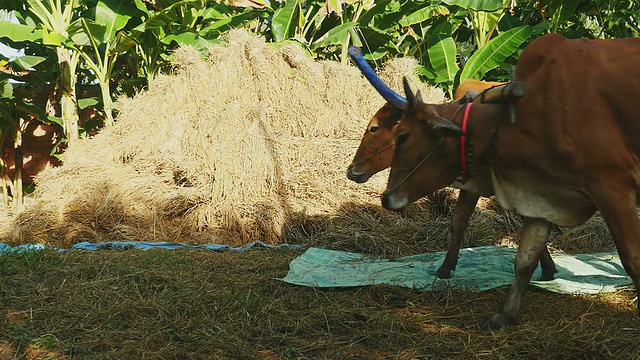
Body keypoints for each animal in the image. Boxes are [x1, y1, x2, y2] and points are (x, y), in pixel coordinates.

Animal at [348, 81, 556, 278]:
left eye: (373, 128)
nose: (351, 170)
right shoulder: (472, 186)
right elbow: (458, 221)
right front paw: (446, 267)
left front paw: (547, 267)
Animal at [380, 35, 640, 330]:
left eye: (402, 136)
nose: (386, 197)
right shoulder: (542, 196)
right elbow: (524, 259)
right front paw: (504, 314)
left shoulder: (612, 188)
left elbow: (632, 259)